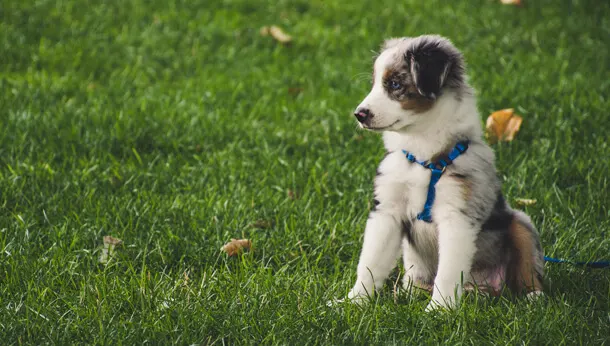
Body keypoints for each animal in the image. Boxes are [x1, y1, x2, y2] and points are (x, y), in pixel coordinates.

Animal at [340, 35, 544, 310]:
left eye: (395, 84)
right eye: (374, 84)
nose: (359, 115)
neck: (423, 156)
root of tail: (483, 288)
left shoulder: (457, 216)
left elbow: (447, 271)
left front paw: (438, 310)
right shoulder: (387, 211)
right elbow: (370, 262)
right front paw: (352, 303)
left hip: (520, 223)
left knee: (527, 266)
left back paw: (534, 296)